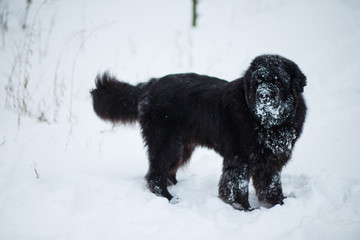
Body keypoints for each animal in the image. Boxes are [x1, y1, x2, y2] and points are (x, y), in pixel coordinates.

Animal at [90, 54, 306, 210]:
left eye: (278, 82)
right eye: (258, 82)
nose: (263, 95)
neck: (268, 124)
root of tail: (149, 85)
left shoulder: (272, 161)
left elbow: (271, 186)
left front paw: (280, 205)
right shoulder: (239, 158)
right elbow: (236, 186)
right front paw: (245, 209)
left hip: (181, 147)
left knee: (167, 172)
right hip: (167, 143)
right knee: (155, 175)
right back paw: (169, 198)